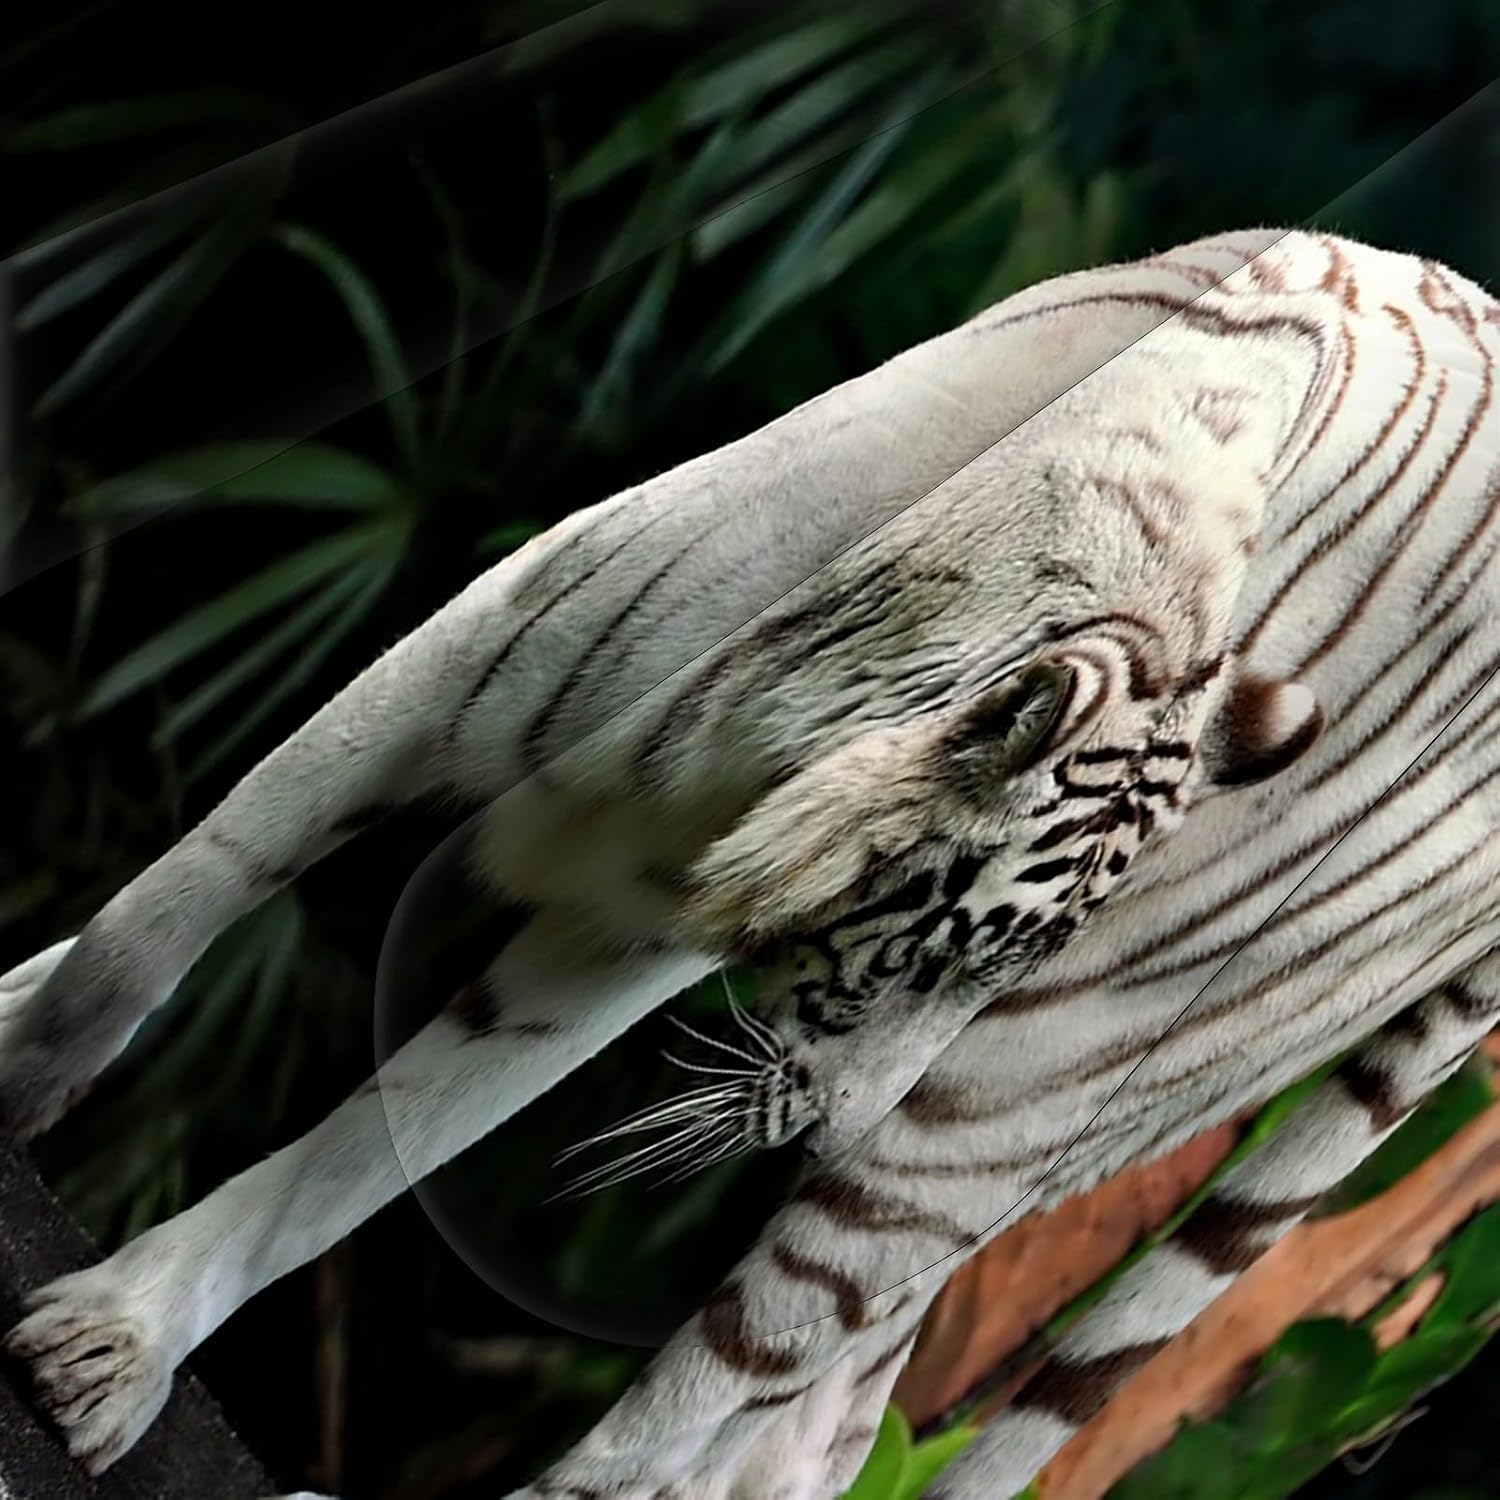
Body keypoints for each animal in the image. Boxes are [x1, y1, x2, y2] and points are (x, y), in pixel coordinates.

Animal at [2, 224, 1498, 1500]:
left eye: (1000, 973)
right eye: (944, 948)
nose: (837, 1130)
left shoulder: (625, 927)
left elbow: (369, 1150)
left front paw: (116, 1336)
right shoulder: (472, 677)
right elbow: (174, 929)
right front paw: (32, 1066)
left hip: (984, 1138)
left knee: (701, 1409)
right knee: (809, 1427)